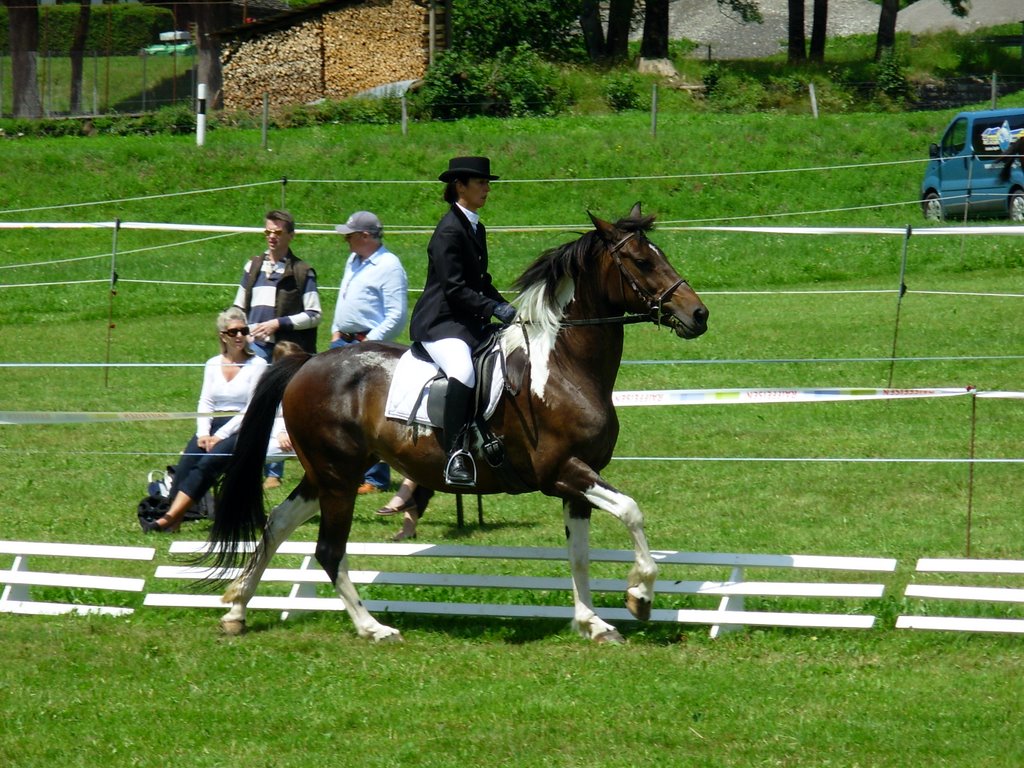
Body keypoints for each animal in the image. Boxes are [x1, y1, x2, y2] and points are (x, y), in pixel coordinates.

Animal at [206, 202, 704, 643]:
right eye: (642, 261)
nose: (698, 315)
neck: (563, 366)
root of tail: (306, 364)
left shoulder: (578, 480)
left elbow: (579, 554)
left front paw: (593, 624)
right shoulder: (562, 471)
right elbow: (632, 511)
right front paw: (639, 595)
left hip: (326, 474)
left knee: (277, 525)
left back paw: (236, 610)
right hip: (337, 476)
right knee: (329, 549)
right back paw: (374, 628)